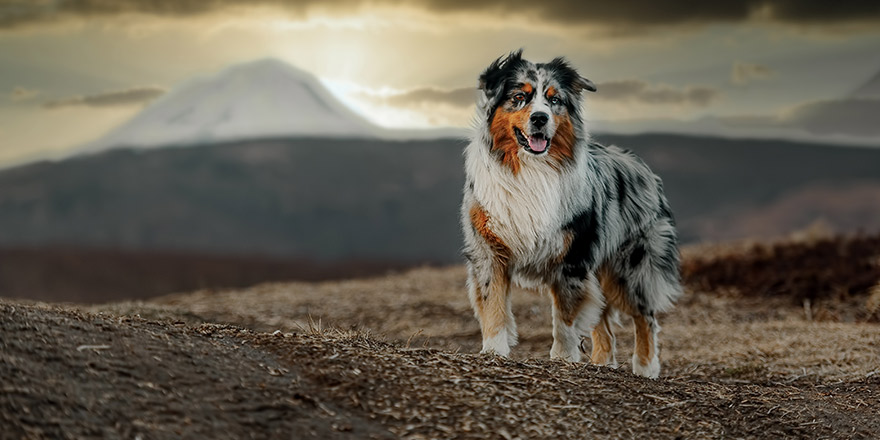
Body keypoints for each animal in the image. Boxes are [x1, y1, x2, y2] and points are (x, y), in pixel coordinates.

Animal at [460, 49, 680, 376]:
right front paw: (494, 351)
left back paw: (645, 367)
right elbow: (493, 304)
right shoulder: (490, 249)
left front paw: (563, 357)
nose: (540, 118)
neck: (531, 169)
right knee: (604, 325)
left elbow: (565, 316)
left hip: (628, 267)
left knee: (645, 316)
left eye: (554, 100)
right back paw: (602, 363)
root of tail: (642, 166)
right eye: (519, 97)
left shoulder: (571, 257)